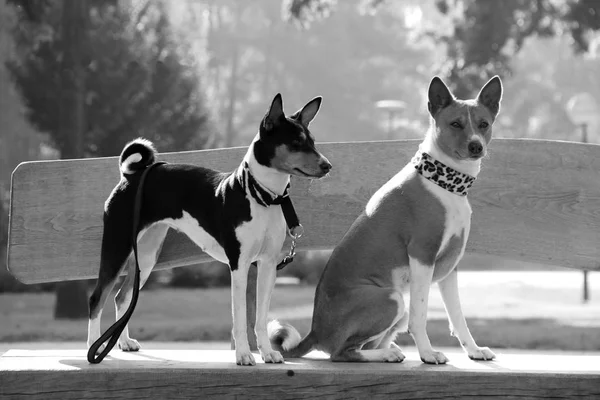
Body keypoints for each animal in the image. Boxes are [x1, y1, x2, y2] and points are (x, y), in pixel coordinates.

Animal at [86, 93, 332, 366]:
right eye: (296, 143)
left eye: (312, 141)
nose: (327, 166)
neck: (262, 197)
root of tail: (132, 175)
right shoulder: (239, 264)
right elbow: (240, 318)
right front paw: (244, 355)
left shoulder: (267, 265)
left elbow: (260, 318)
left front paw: (267, 353)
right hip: (117, 247)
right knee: (97, 298)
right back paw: (95, 346)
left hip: (147, 255)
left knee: (122, 297)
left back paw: (124, 342)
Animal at [270, 76, 502, 366]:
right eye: (456, 124)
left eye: (483, 124)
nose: (475, 146)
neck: (444, 183)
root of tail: (315, 331)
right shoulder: (422, 256)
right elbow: (421, 315)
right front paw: (427, 354)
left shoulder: (450, 266)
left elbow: (458, 317)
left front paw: (473, 350)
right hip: (392, 299)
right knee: (342, 352)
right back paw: (387, 353)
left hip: (396, 306)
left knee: (366, 345)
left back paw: (390, 351)